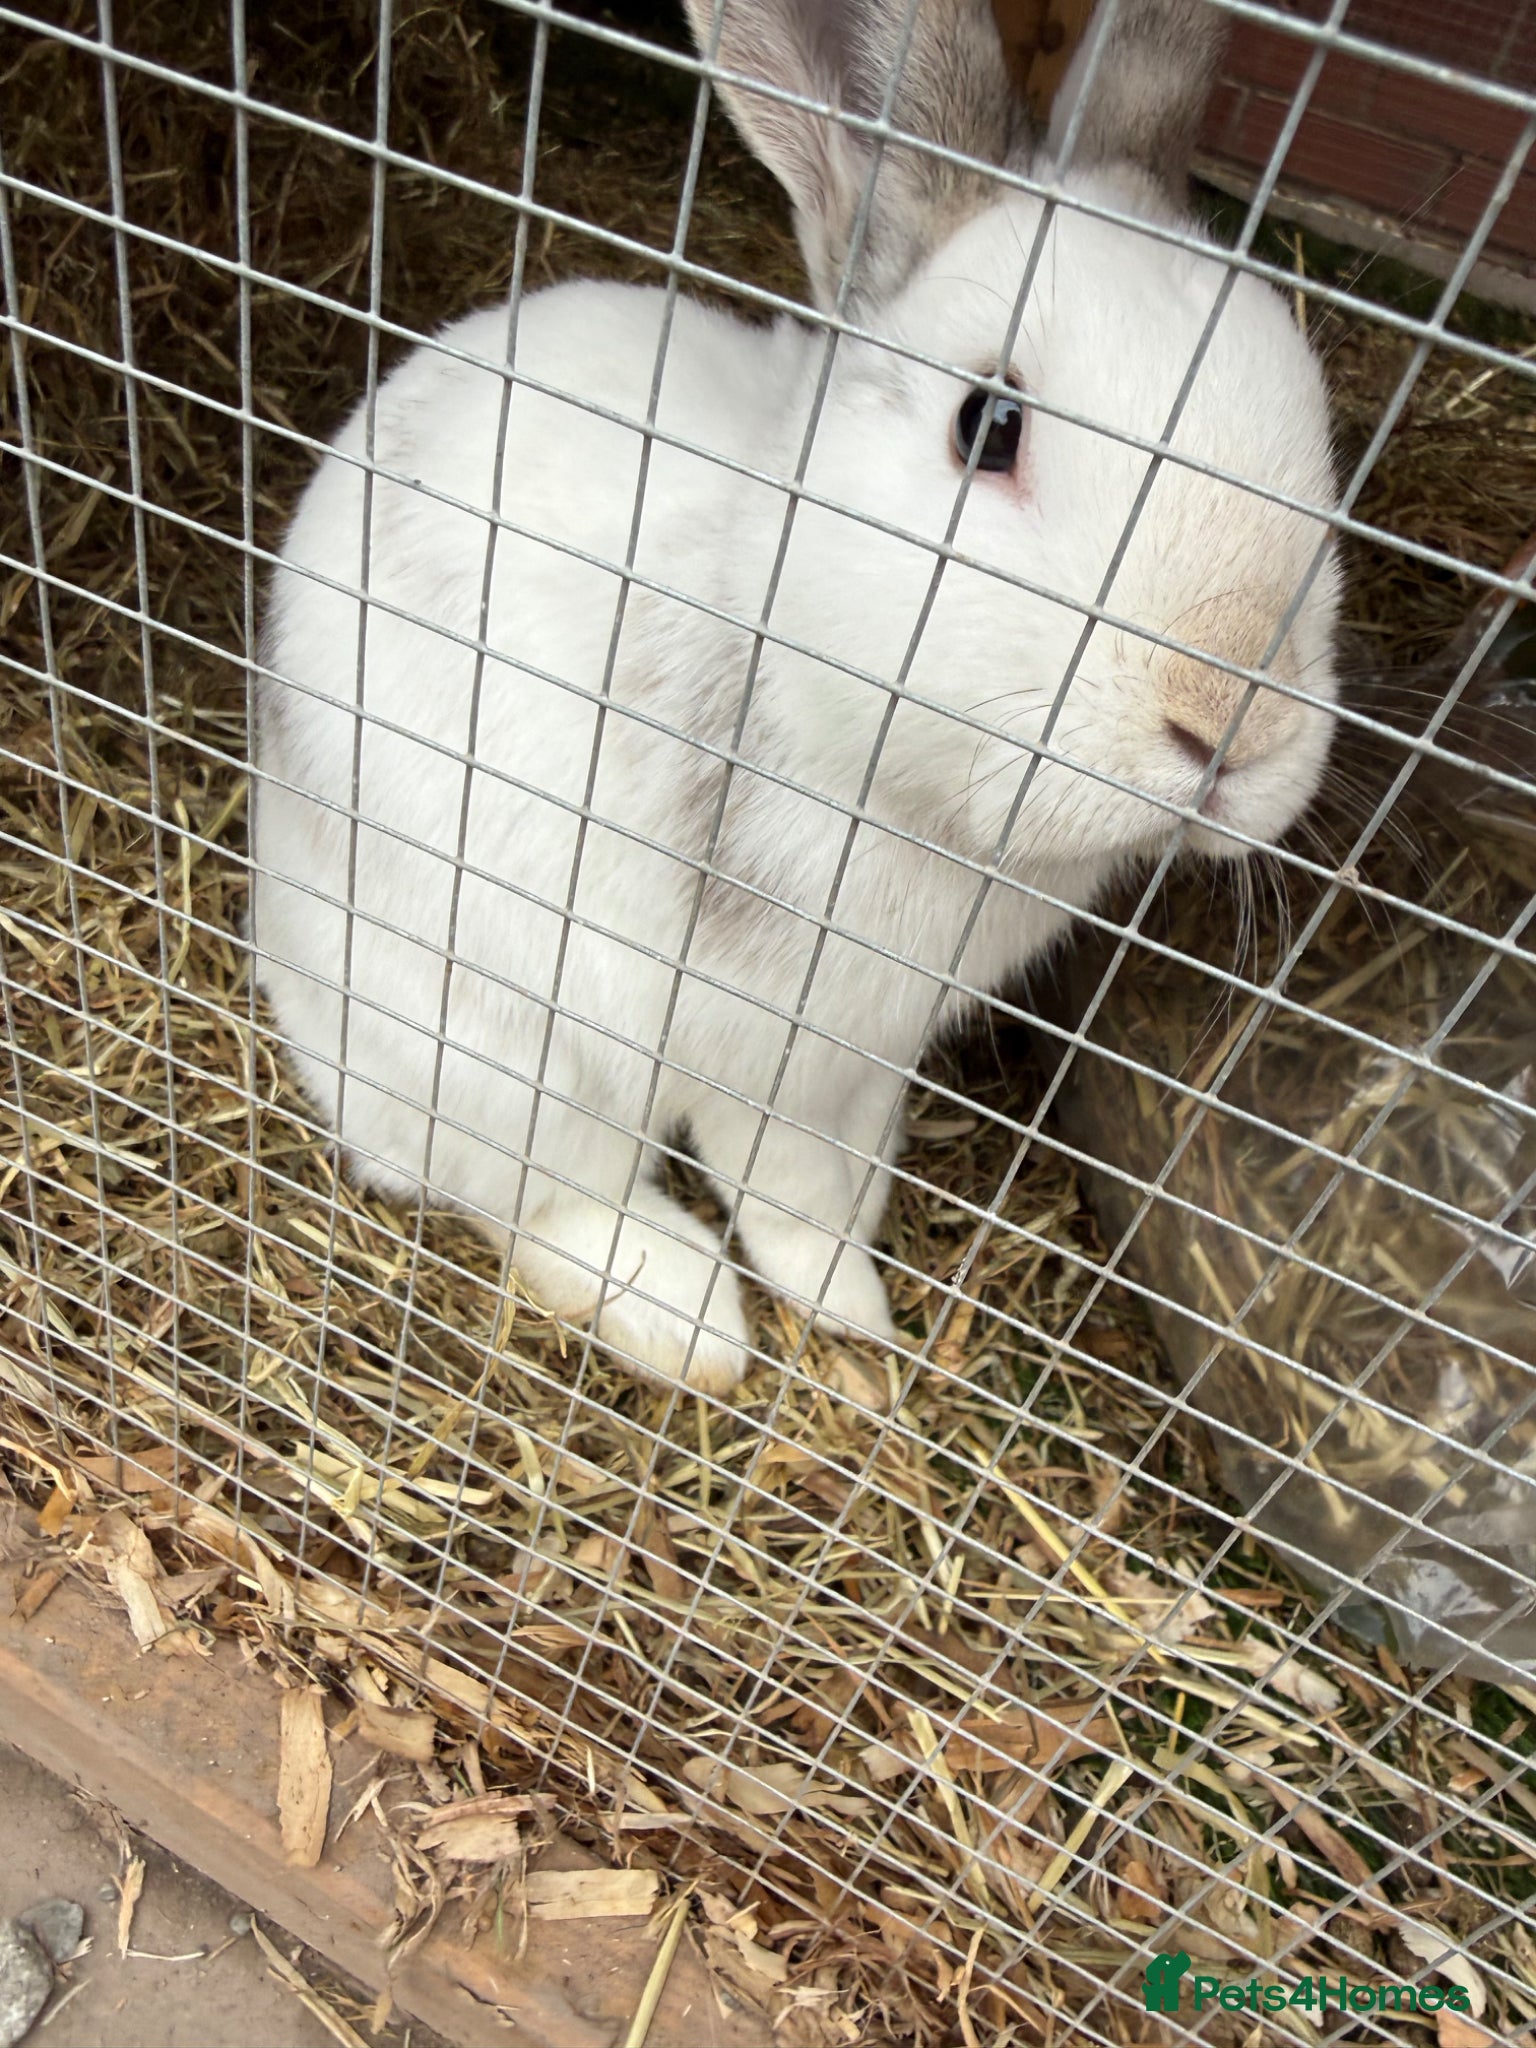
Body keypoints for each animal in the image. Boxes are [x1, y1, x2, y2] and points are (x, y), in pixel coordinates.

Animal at [252, 0, 1341, 1397]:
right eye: (989, 425)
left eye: (1322, 436)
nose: (1231, 721)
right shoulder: (752, 1041)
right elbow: (778, 1191)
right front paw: (846, 1313)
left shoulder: (870, 1051)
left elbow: (837, 1169)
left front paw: (862, 1257)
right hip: (491, 1043)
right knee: (522, 1192)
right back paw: (687, 1323)